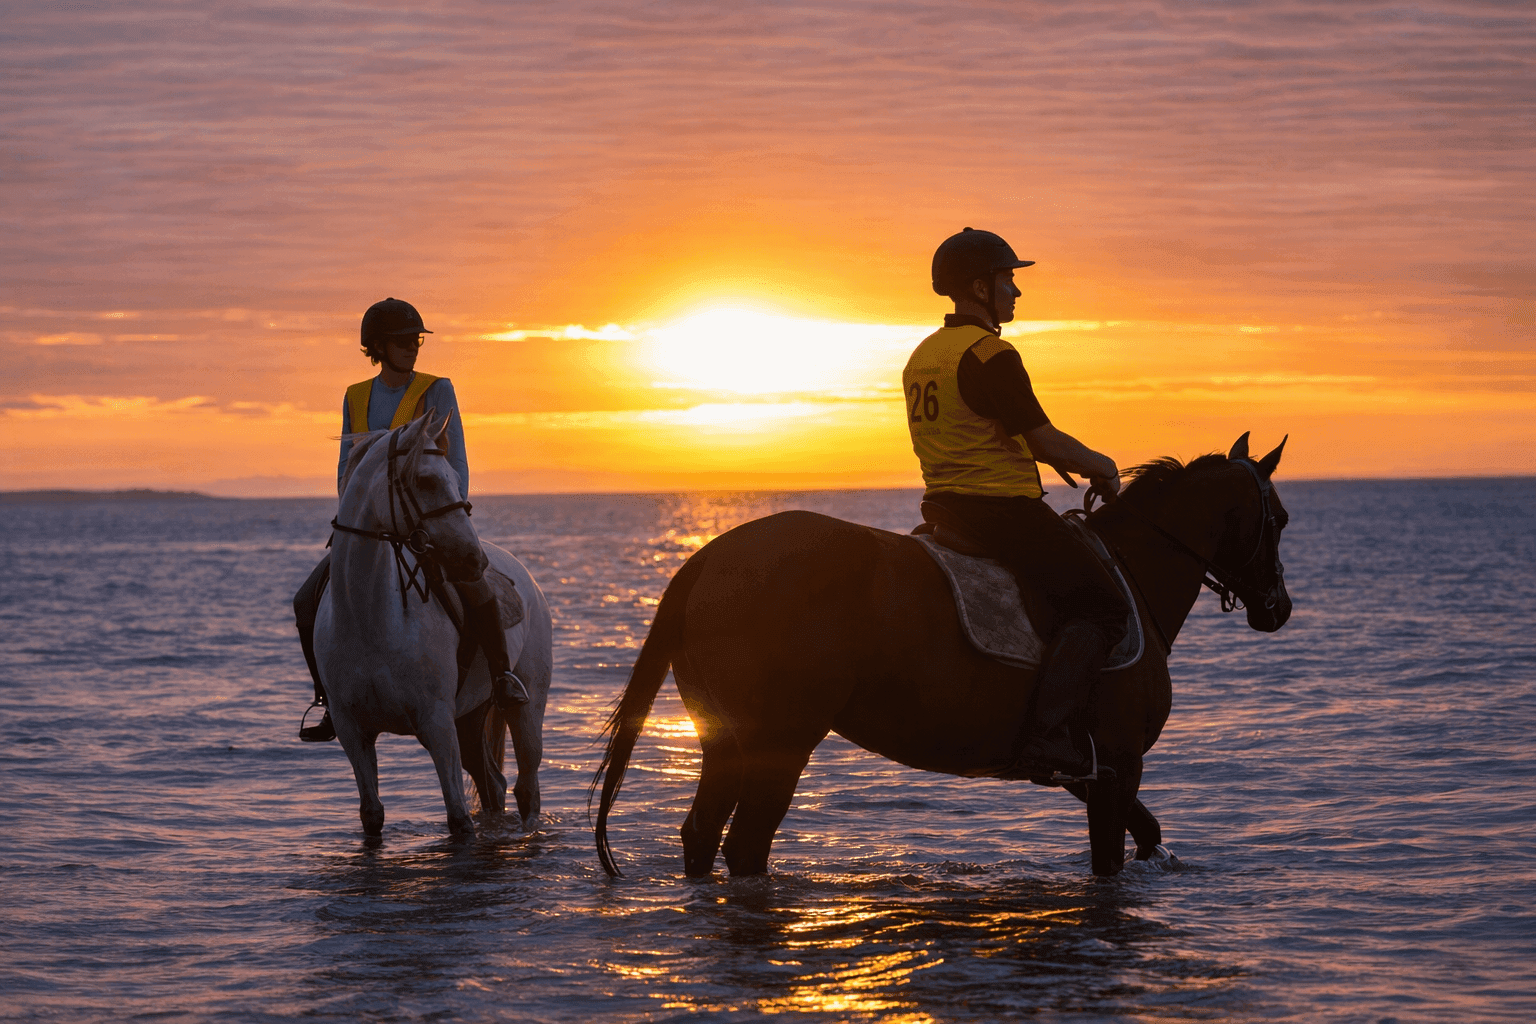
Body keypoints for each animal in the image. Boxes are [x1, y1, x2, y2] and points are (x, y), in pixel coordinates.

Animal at [313, 412, 553, 838]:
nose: (475, 561)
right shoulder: (352, 732)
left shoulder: (437, 725)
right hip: (469, 718)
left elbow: (458, 819)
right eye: (425, 480)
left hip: (526, 706)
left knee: (526, 787)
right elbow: (372, 815)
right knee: (493, 783)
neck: (369, 621)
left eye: (455, 479)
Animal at [593, 433, 1292, 877]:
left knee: (703, 834)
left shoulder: (1091, 771)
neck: (1132, 571)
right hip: (781, 741)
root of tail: (709, 558)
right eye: (1280, 518)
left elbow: (1146, 833)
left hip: (727, 740)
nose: (1278, 607)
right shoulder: (1119, 764)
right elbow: (1111, 865)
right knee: (745, 845)